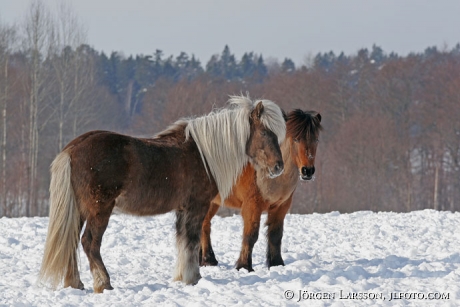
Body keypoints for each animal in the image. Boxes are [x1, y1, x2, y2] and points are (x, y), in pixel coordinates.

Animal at [38, 96, 288, 294]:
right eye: (265, 132)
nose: (279, 167)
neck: (202, 154)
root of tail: (72, 149)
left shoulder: (183, 209)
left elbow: (182, 241)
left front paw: (181, 277)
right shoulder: (197, 206)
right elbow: (192, 241)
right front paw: (193, 278)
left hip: (80, 209)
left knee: (72, 242)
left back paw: (75, 284)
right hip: (100, 209)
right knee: (90, 242)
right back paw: (103, 283)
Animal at [199, 110, 322, 272]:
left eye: (316, 139)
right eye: (296, 139)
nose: (308, 171)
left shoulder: (281, 207)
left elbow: (275, 235)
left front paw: (277, 264)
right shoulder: (252, 206)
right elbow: (250, 236)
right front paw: (244, 266)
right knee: (204, 226)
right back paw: (208, 260)